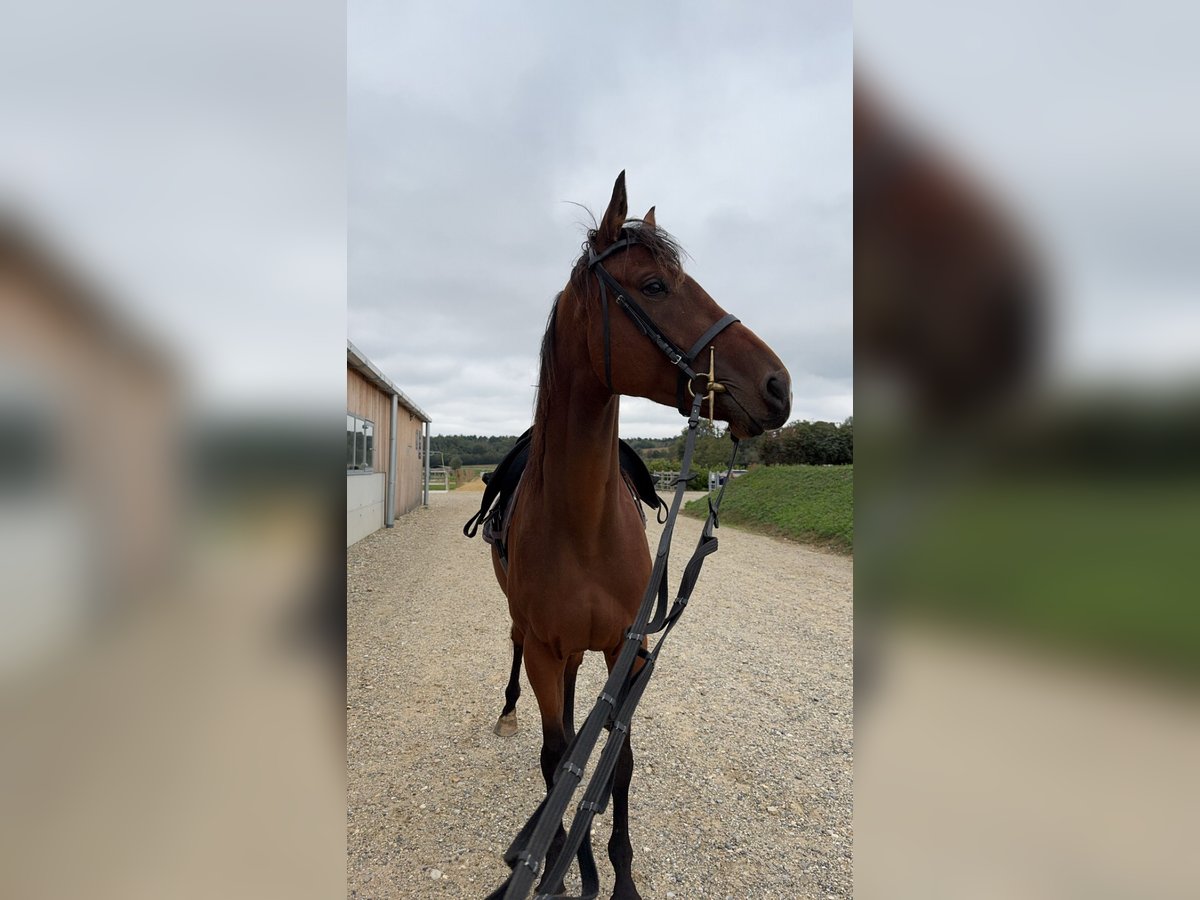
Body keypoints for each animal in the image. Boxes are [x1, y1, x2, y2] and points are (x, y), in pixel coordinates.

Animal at [482, 172, 792, 897]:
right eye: (654, 285)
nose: (779, 385)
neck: (582, 527)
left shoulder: (631, 648)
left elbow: (613, 759)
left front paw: (615, 872)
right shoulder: (546, 649)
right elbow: (558, 758)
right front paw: (563, 861)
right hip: (531, 636)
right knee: (527, 676)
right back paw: (509, 713)